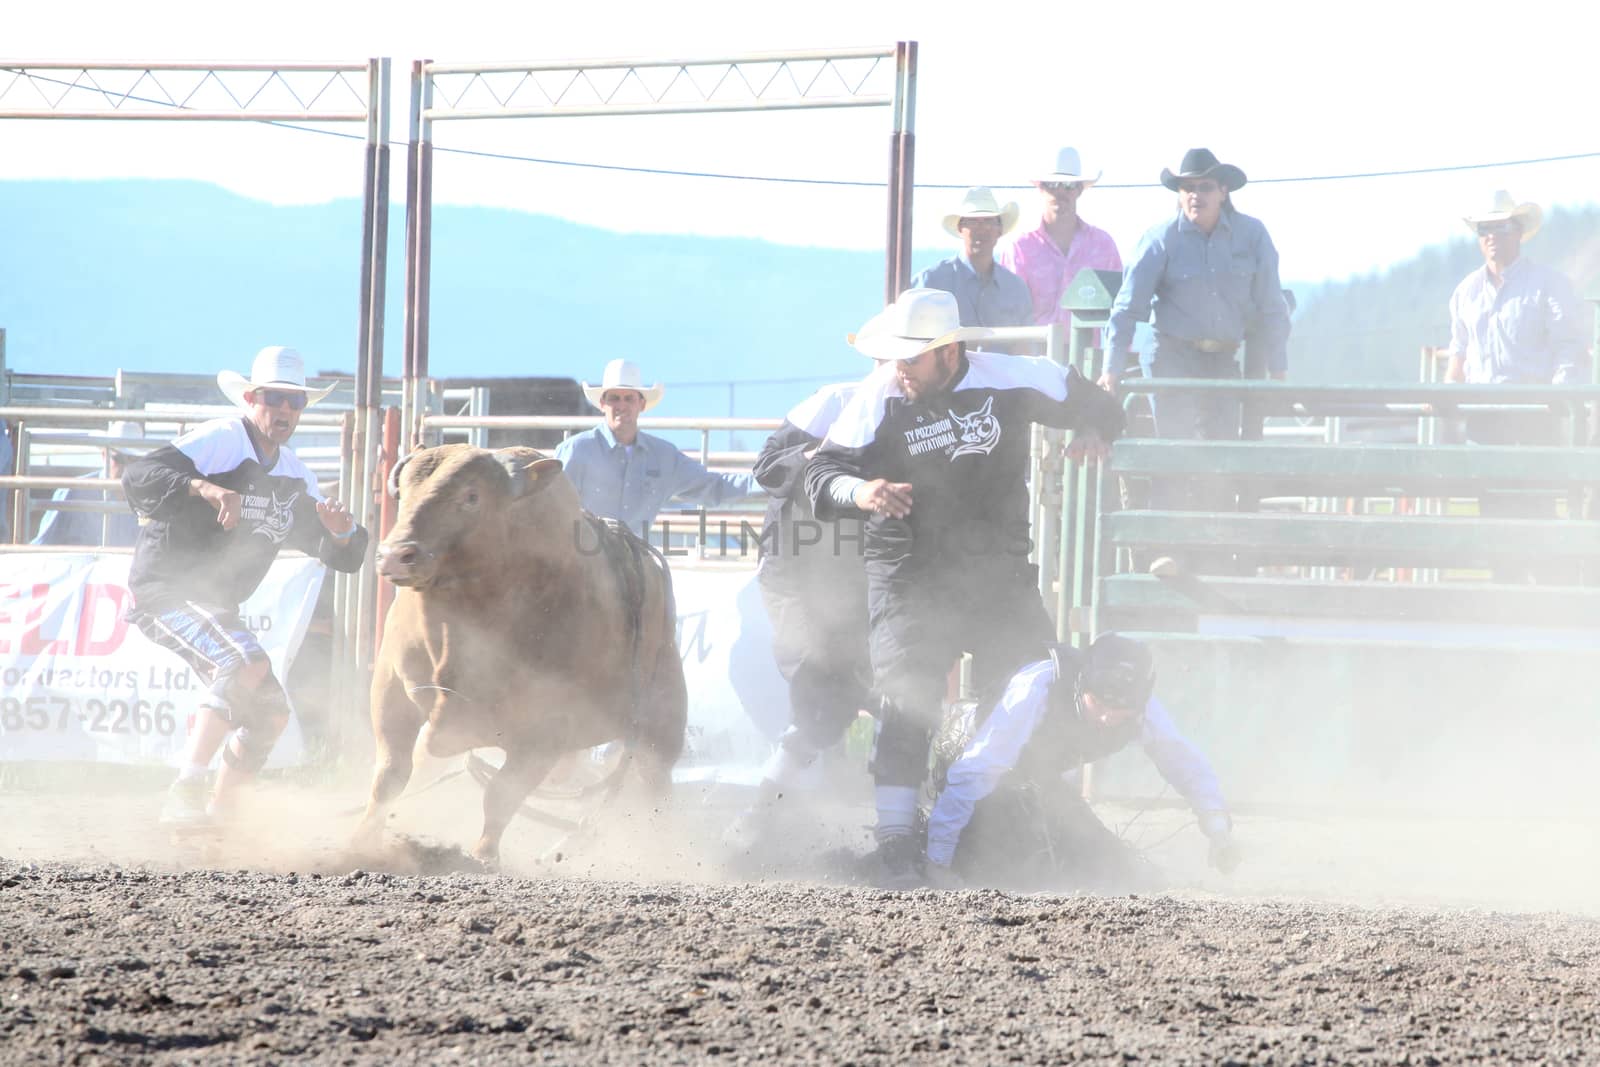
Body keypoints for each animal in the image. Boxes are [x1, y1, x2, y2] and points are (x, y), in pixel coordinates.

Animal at [356, 444, 688, 870]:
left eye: (472, 496)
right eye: (403, 492)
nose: (396, 555)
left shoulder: (544, 732)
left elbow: (501, 793)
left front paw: (482, 856)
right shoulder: (391, 692)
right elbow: (390, 775)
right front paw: (360, 841)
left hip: (663, 721)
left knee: (654, 784)